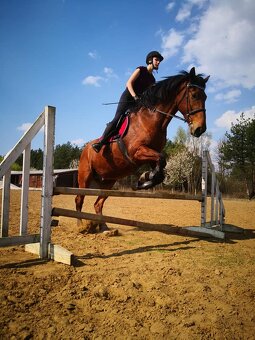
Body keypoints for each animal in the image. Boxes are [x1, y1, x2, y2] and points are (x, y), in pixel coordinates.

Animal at [75, 67, 209, 231]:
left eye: (206, 97)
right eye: (195, 95)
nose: (200, 129)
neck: (153, 119)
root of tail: (85, 149)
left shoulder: (152, 154)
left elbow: (161, 168)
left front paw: (144, 179)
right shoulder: (137, 152)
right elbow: (161, 160)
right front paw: (144, 179)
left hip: (108, 181)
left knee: (98, 203)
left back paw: (105, 227)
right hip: (85, 177)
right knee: (79, 199)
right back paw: (81, 226)